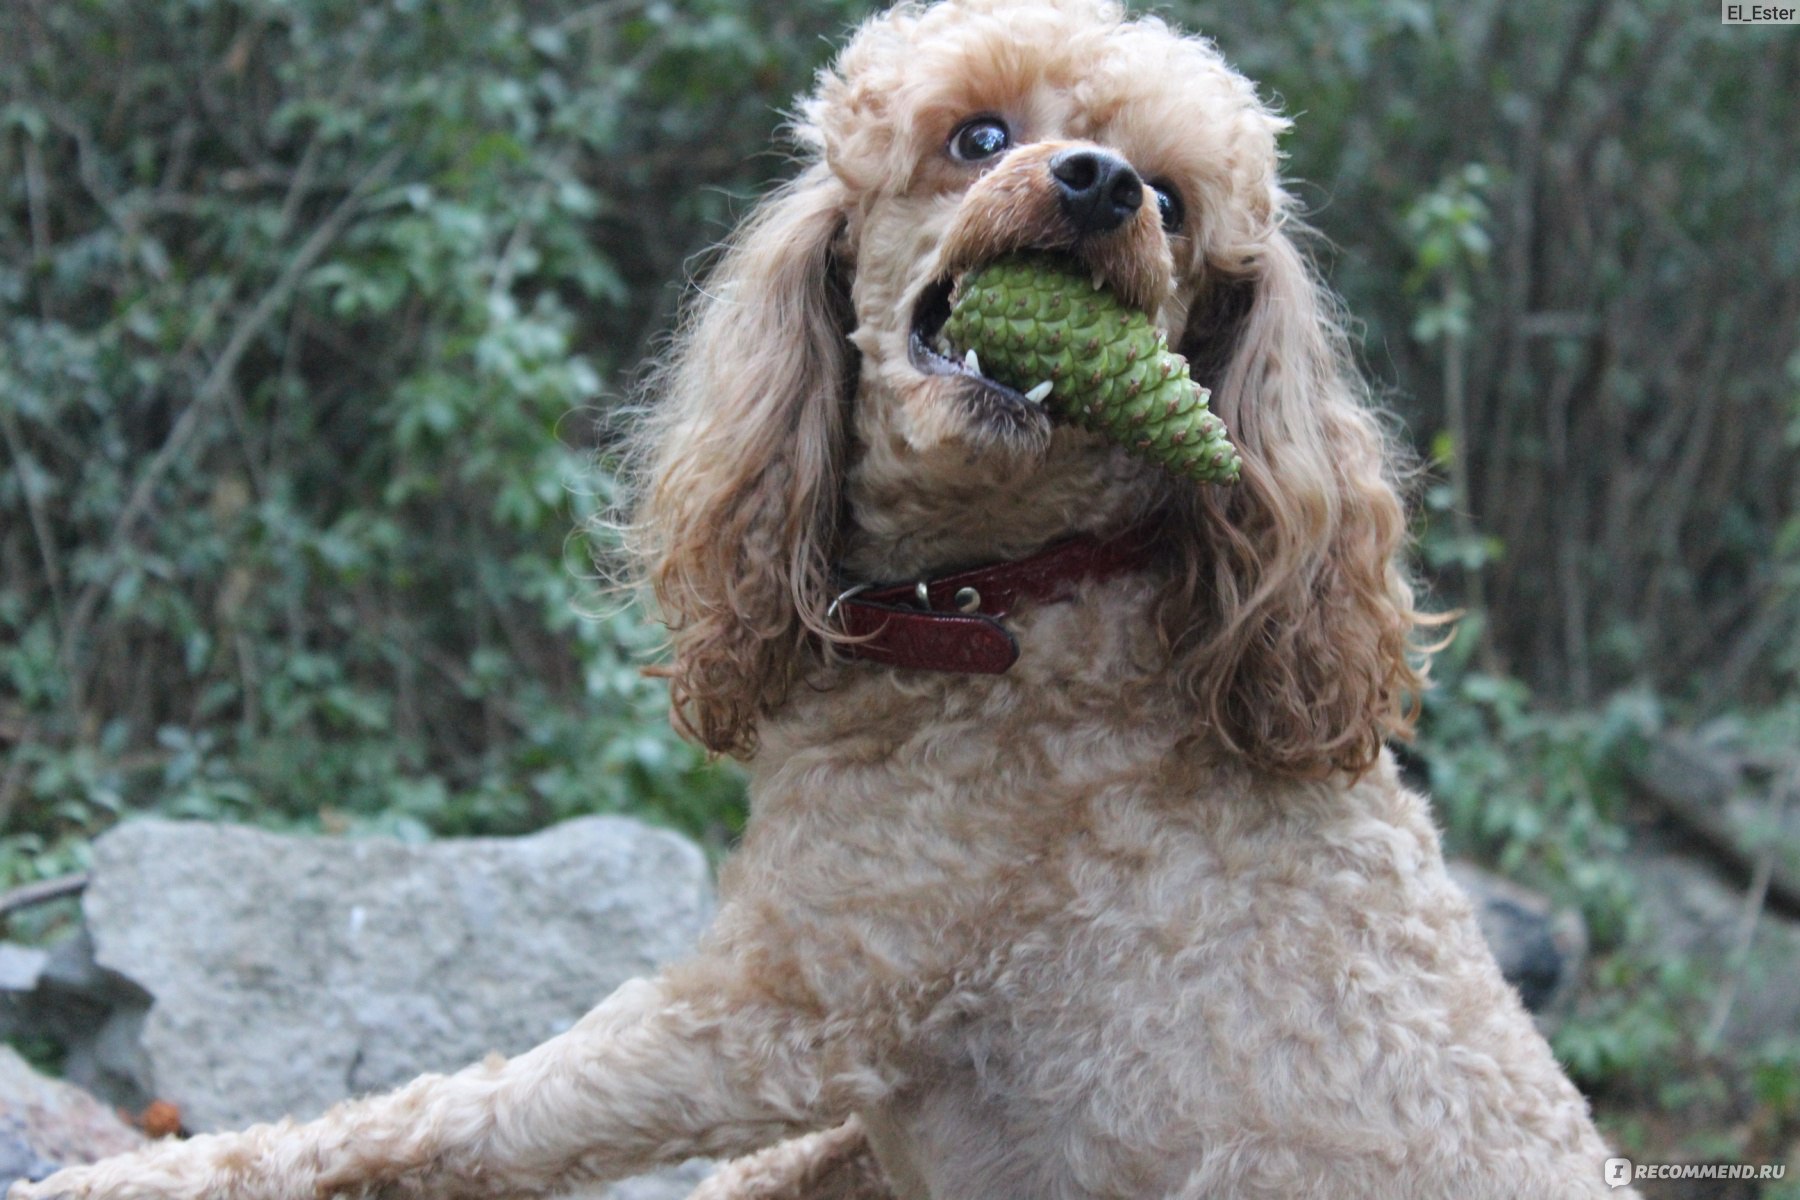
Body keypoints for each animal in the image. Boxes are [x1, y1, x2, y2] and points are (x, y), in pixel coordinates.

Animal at [14, 2, 1641, 1200]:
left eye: (1176, 207)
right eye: (978, 135)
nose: (1102, 183)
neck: (1004, 605)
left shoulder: (787, 1014)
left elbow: (443, 1117)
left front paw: (144, 1178)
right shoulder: (879, 1108)